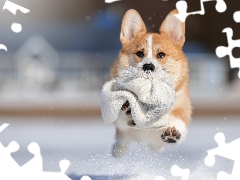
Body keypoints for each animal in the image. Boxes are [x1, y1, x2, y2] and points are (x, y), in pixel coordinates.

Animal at [110, 9, 191, 157]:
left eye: (161, 55)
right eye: (140, 53)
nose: (148, 66)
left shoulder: (181, 105)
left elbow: (178, 119)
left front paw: (172, 132)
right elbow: (121, 118)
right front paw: (128, 108)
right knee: (122, 141)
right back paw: (118, 150)